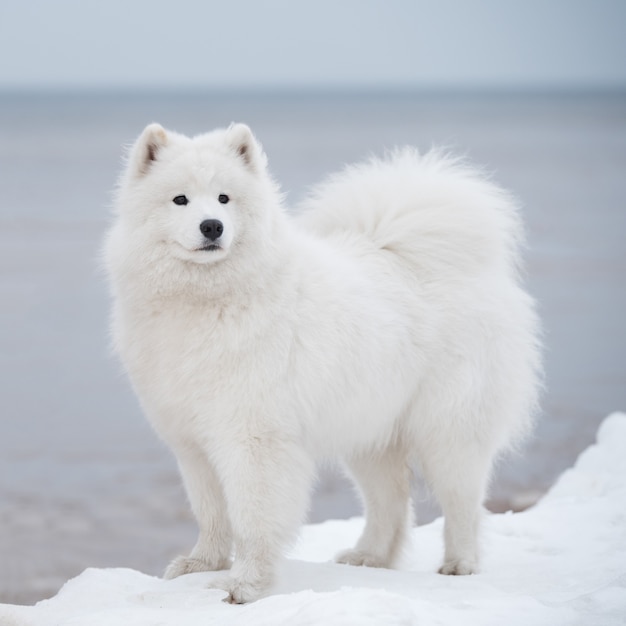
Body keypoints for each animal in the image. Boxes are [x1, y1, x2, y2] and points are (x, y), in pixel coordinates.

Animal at [103, 122, 540, 600]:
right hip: (370, 431)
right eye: (180, 199)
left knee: (462, 501)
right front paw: (201, 565)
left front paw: (247, 584)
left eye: (224, 198)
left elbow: (253, 517)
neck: (208, 300)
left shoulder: (254, 439)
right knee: (390, 501)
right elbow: (211, 512)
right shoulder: (193, 443)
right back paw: (368, 557)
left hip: (447, 431)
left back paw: (460, 564)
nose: (212, 226)